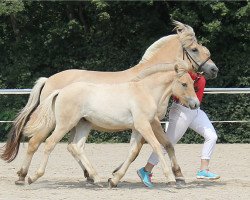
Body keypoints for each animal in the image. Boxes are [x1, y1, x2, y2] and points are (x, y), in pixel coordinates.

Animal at [23, 60, 199, 187]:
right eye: (184, 84)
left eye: (193, 83)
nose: (196, 104)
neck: (145, 91)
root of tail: (61, 91)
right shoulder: (144, 125)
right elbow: (156, 146)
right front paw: (171, 178)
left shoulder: (138, 128)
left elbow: (134, 152)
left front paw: (114, 180)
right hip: (64, 125)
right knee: (48, 143)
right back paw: (31, 176)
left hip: (83, 125)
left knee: (76, 147)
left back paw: (96, 179)